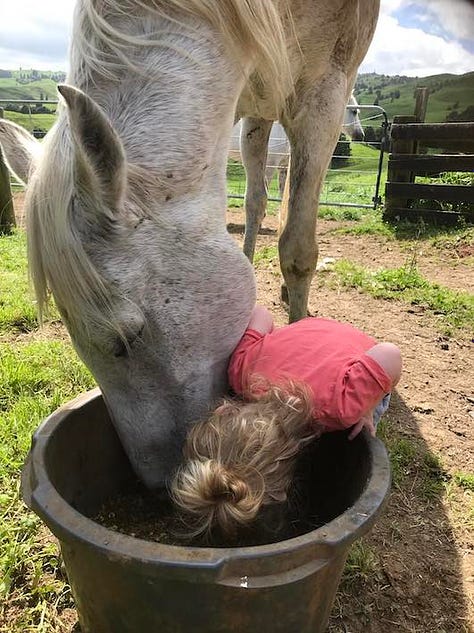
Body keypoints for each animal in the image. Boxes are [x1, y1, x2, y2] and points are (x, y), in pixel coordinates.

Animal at [0, 0, 378, 488]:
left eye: (128, 337)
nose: (156, 482)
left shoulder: (323, 92)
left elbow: (297, 251)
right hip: (256, 117)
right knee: (256, 198)